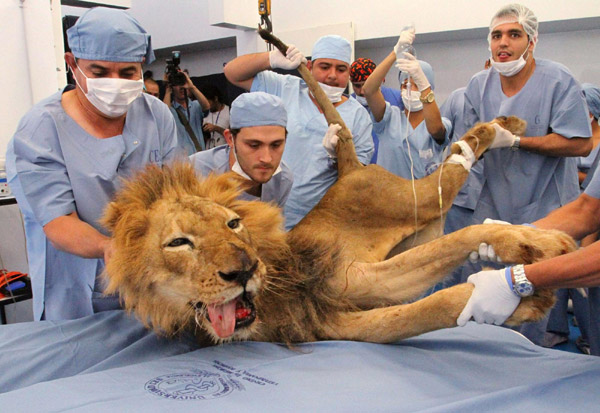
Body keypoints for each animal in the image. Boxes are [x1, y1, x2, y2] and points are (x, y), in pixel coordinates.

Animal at [102, 113, 576, 344]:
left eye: (233, 223)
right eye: (179, 243)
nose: (243, 270)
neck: (271, 302)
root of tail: (349, 168)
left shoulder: (352, 277)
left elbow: (464, 237)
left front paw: (536, 243)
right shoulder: (343, 319)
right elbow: (431, 307)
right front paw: (513, 298)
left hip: (416, 199)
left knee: (461, 152)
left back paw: (506, 128)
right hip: (422, 216)